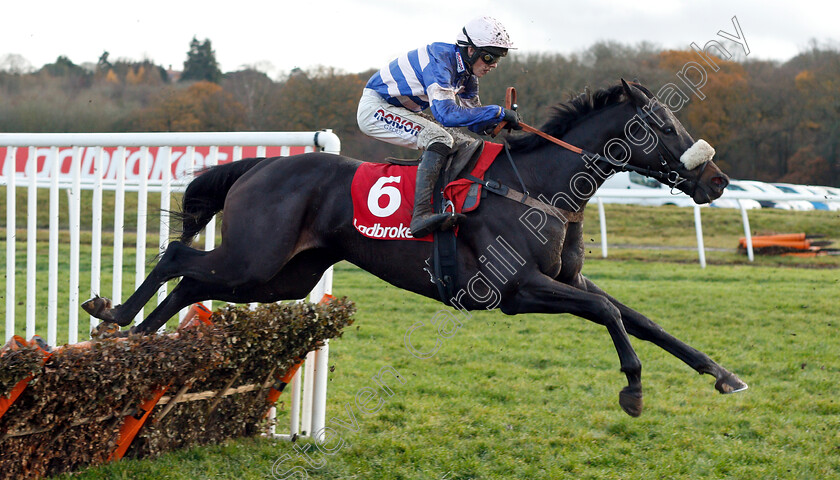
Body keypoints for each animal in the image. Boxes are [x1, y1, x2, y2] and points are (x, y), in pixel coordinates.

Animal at [83, 79, 748, 416]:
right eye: (663, 125)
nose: (717, 181)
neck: (541, 187)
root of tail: (261, 166)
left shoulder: (569, 282)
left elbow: (641, 319)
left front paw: (723, 374)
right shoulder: (517, 290)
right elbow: (612, 314)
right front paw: (633, 389)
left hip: (283, 276)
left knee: (195, 281)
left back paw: (139, 343)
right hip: (257, 257)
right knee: (179, 260)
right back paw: (115, 317)